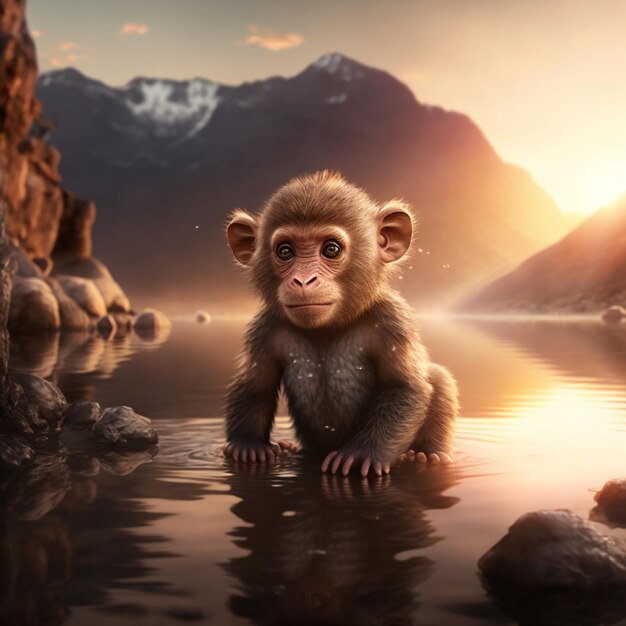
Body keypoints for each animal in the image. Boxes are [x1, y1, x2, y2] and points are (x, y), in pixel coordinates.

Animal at [222, 168, 456, 476]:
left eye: (331, 249)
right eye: (285, 251)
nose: (304, 280)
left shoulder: (392, 320)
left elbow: (405, 387)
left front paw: (363, 453)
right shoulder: (264, 329)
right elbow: (255, 386)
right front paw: (247, 444)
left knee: (439, 377)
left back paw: (428, 455)